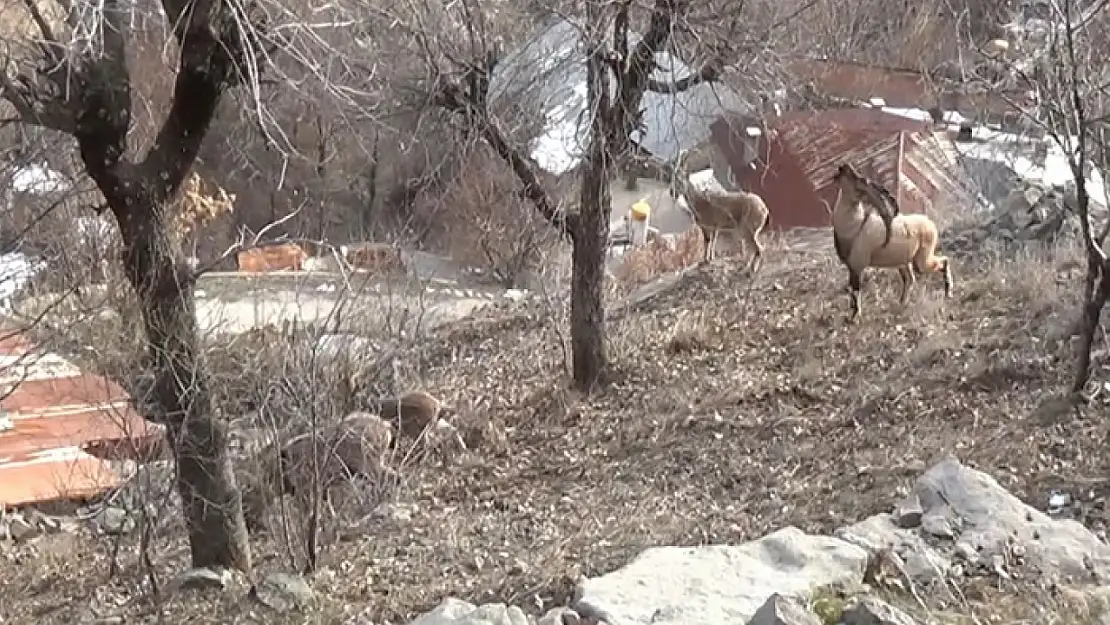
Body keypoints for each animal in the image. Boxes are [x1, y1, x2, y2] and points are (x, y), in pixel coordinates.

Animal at [834, 160, 954, 321]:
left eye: (859, 180)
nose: (844, 166)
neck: (855, 227)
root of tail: (930, 223)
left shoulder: (858, 267)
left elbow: (856, 292)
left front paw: (854, 317)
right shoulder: (851, 268)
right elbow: (852, 292)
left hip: (922, 260)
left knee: (943, 261)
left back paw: (948, 292)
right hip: (904, 262)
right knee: (910, 279)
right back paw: (901, 303)